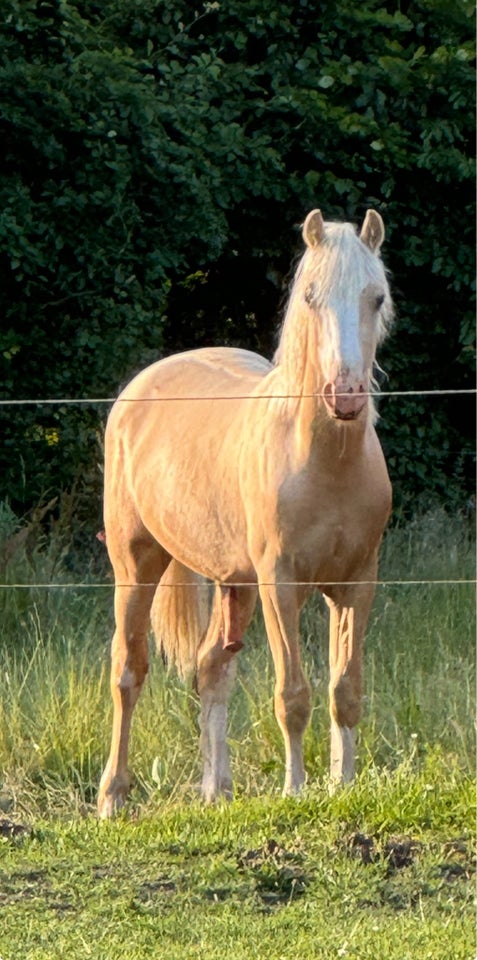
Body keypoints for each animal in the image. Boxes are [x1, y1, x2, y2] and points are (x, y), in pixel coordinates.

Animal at [96, 210, 390, 816]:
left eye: (375, 297)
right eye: (310, 295)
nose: (346, 396)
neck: (324, 463)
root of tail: (140, 386)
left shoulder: (356, 583)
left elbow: (345, 692)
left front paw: (344, 785)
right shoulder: (281, 584)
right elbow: (293, 695)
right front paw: (296, 790)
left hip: (234, 582)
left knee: (212, 667)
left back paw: (217, 790)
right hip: (136, 565)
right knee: (127, 671)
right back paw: (112, 798)